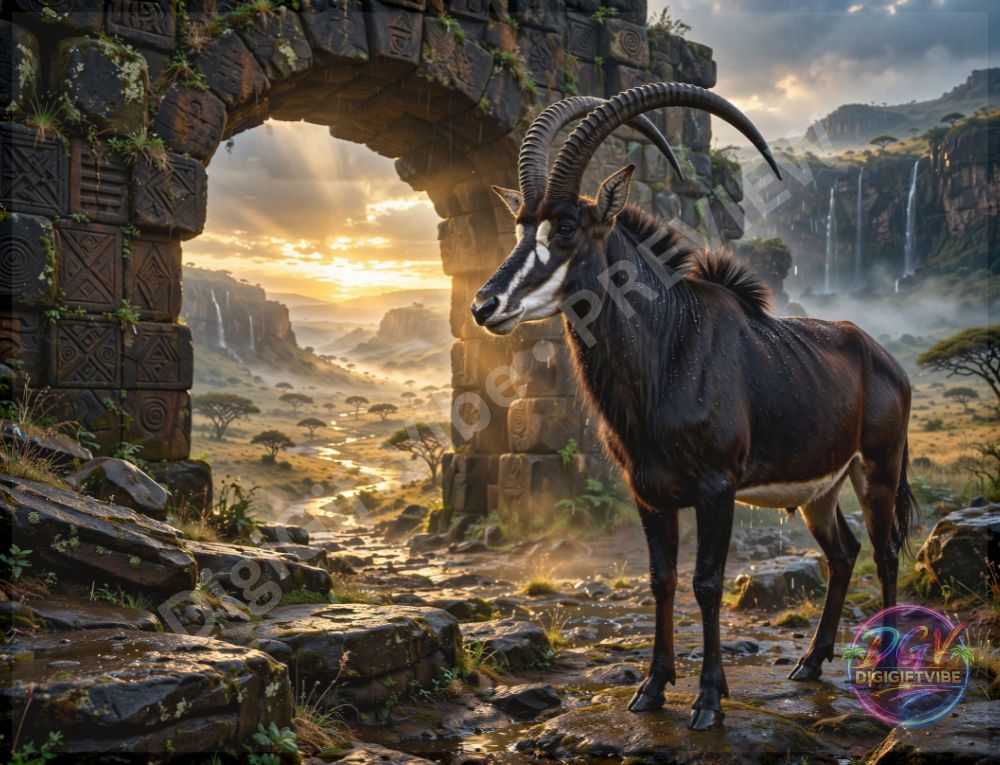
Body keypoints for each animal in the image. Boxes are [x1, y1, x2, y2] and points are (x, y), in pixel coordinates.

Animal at [471, 83, 917, 730]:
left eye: (568, 227)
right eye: (519, 228)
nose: (485, 305)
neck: (667, 347)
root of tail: (883, 358)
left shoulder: (716, 486)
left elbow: (707, 583)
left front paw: (709, 700)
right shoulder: (648, 491)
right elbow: (661, 580)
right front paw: (652, 689)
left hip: (877, 468)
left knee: (883, 553)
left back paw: (886, 669)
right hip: (821, 489)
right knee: (844, 553)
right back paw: (810, 662)